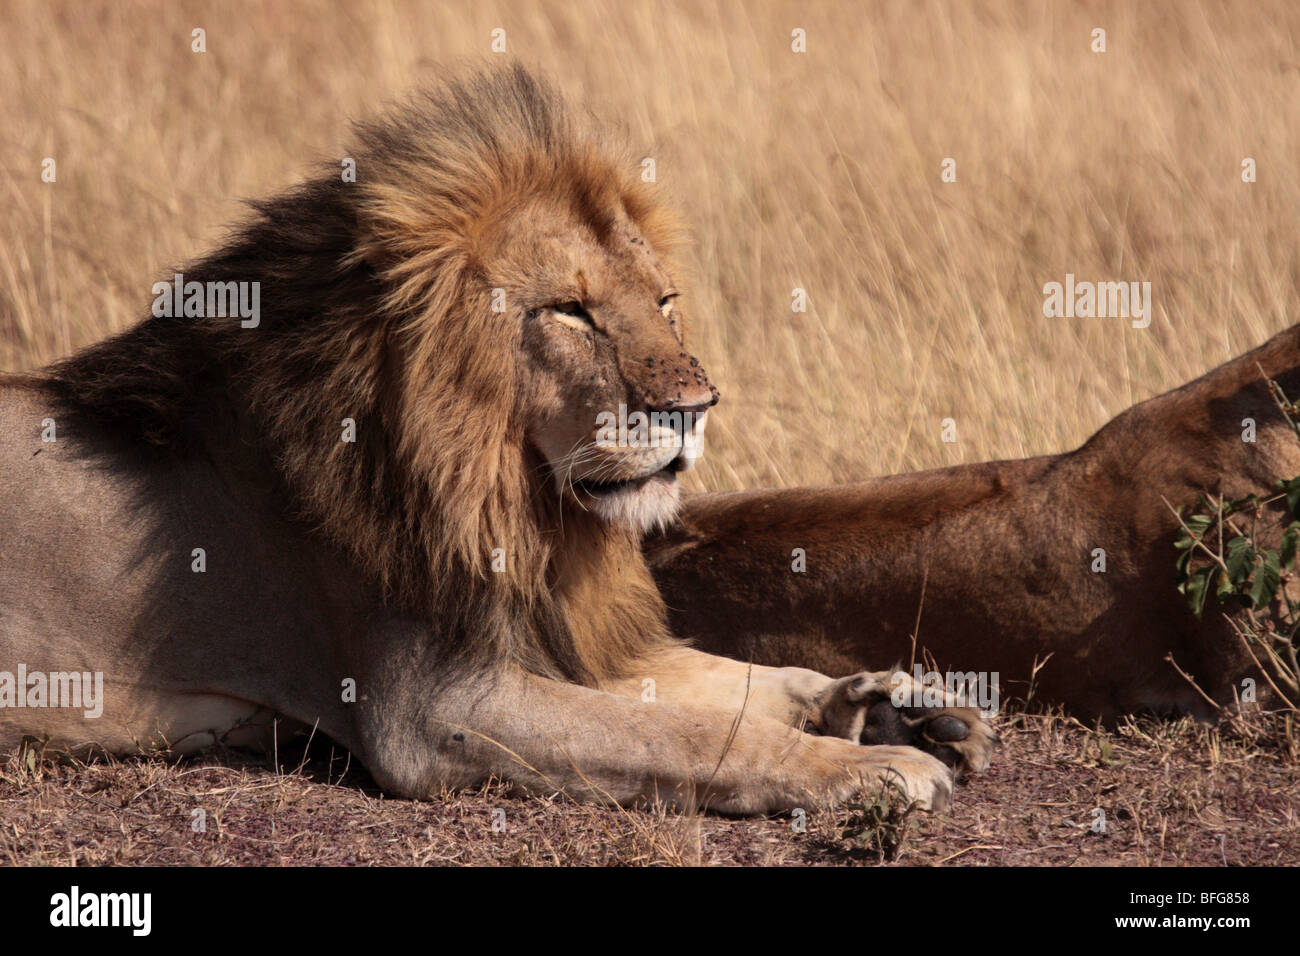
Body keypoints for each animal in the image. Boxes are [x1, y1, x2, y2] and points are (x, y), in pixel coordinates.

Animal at [0, 69, 987, 816]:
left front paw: (897, 706)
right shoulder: (434, 709)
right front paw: (869, 764)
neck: (512, 496)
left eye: (664, 301)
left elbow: (743, 675)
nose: (698, 406)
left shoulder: (561, 633)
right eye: (571, 311)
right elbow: (699, 730)